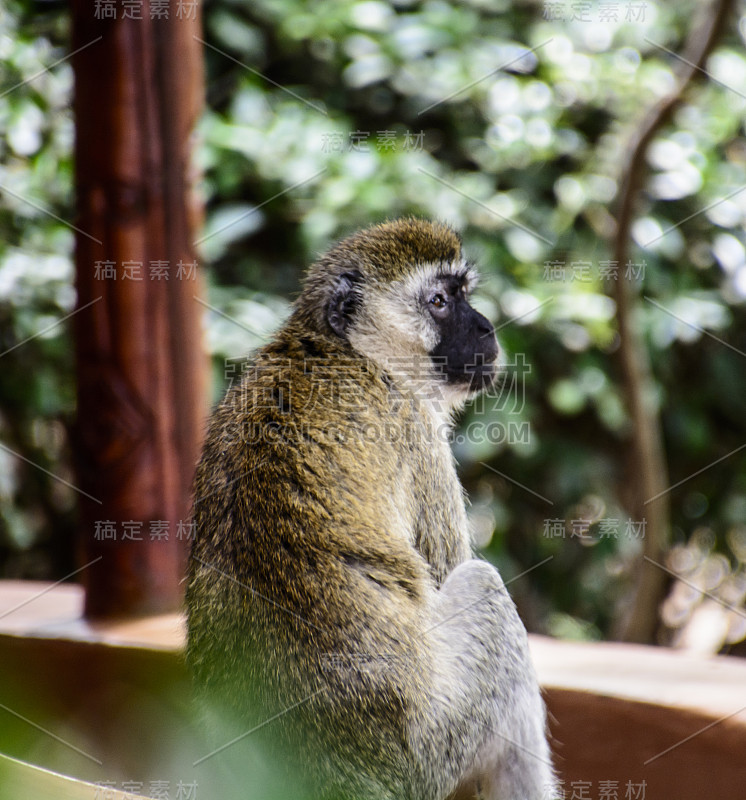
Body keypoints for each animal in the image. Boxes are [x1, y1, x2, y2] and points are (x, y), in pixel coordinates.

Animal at [186, 219, 552, 800]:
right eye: (439, 302)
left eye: (462, 295)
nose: (486, 327)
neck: (347, 350)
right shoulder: (416, 429)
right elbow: (448, 567)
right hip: (432, 749)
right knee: (483, 586)